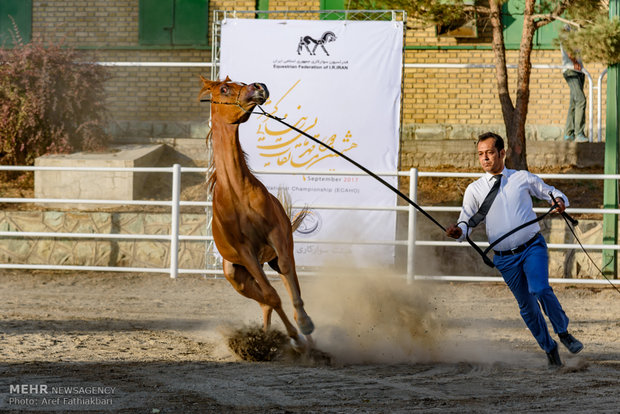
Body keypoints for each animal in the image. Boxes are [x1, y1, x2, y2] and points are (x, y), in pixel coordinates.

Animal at [199, 75, 314, 350]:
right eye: (224, 88)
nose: (259, 86)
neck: (237, 193)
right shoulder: (246, 253)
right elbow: (272, 297)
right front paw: (293, 336)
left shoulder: (277, 236)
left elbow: (288, 281)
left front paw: (304, 325)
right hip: (238, 276)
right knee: (264, 300)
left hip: (271, 258)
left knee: (283, 281)